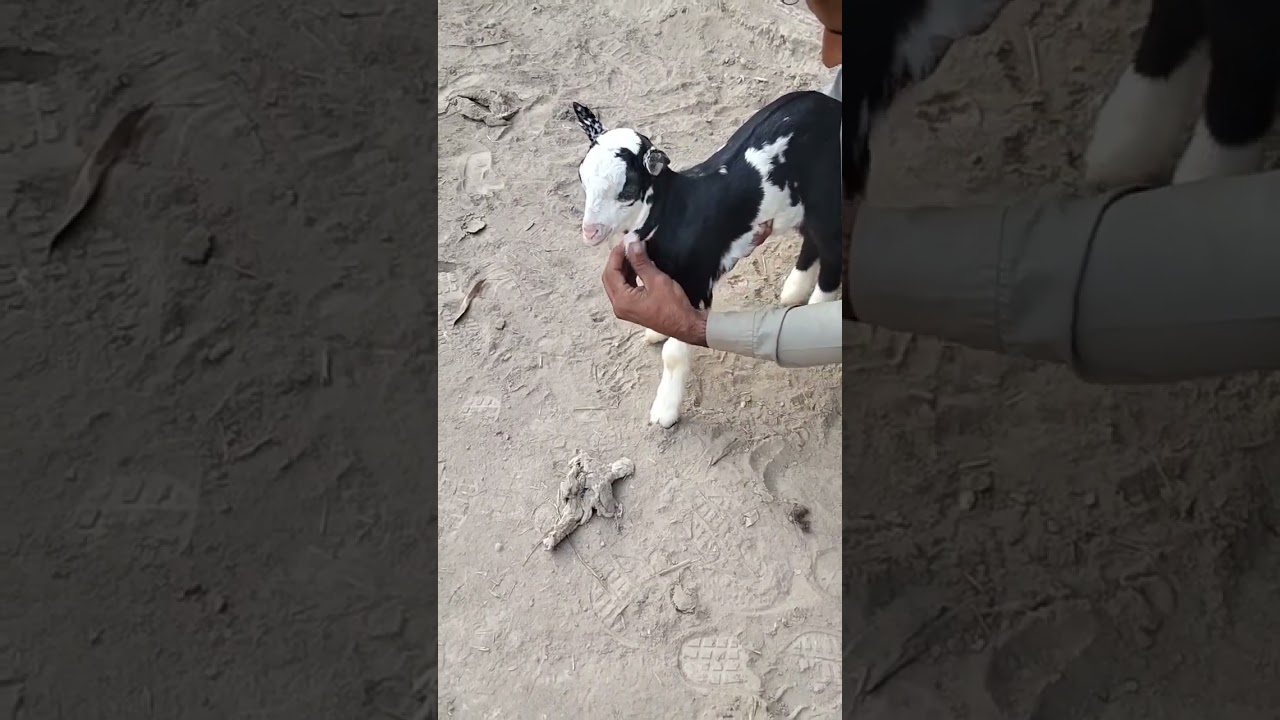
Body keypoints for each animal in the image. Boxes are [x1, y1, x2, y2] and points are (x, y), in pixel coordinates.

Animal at [572, 91, 842, 428]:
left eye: (628, 188)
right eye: (582, 178)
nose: (590, 232)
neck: (670, 211)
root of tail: (832, 106)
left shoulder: (696, 284)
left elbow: (674, 353)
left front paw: (665, 410)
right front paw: (656, 330)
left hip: (827, 195)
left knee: (832, 248)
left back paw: (817, 307)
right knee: (812, 238)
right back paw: (795, 290)